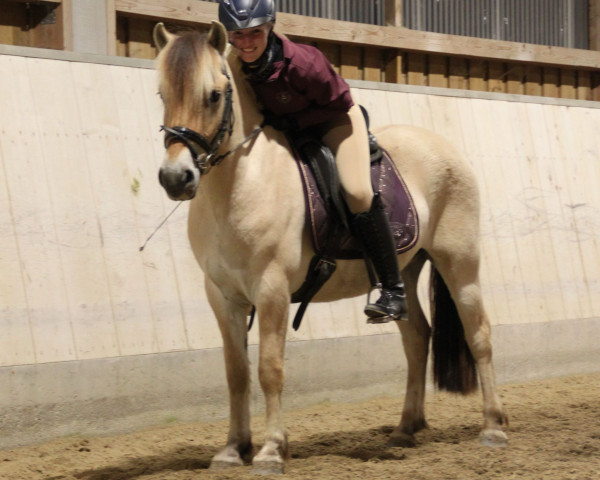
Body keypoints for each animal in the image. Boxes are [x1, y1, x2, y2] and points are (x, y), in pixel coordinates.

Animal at [151, 20, 506, 474]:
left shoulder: (271, 290)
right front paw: (233, 449)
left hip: (459, 262)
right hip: (406, 269)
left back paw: (493, 427)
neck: (240, 183)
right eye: (163, 94)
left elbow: (269, 369)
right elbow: (237, 373)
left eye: (213, 95)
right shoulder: (222, 295)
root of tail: (442, 146)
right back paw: (405, 428)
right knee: (416, 339)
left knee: (479, 334)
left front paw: (271, 451)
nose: (175, 178)